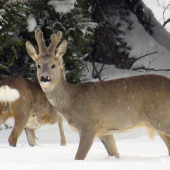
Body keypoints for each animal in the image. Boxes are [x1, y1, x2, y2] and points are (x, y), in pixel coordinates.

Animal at [25, 27, 170, 159]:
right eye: (38, 66)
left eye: (53, 65)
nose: (44, 78)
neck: (71, 101)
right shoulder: (104, 131)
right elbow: (115, 154)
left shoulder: (88, 125)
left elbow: (79, 157)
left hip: (160, 117)